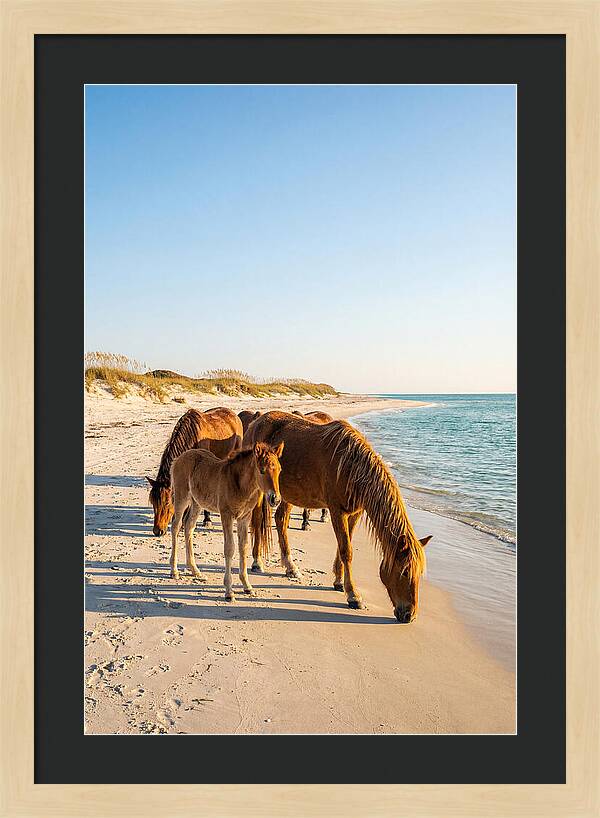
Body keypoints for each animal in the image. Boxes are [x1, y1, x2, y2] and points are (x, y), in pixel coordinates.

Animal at [146, 407, 243, 536]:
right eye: (153, 502)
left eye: (167, 502)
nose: (158, 531)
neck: (192, 437)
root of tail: (233, 415)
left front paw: (206, 520)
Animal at [169, 442, 284, 600]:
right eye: (262, 471)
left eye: (279, 470)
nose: (275, 499)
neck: (241, 485)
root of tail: (179, 458)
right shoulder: (226, 515)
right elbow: (230, 548)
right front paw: (229, 591)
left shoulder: (244, 517)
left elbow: (243, 547)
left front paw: (247, 586)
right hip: (181, 497)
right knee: (176, 526)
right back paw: (174, 571)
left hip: (197, 502)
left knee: (188, 527)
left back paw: (195, 570)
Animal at [245, 411, 432, 622]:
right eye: (405, 571)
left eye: (419, 573)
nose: (410, 615)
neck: (352, 467)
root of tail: (256, 421)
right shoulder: (336, 511)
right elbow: (346, 551)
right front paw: (353, 596)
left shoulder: (354, 513)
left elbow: (343, 546)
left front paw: (339, 582)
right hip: (261, 491)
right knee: (258, 520)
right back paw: (257, 562)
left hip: (288, 494)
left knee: (281, 520)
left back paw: (291, 567)